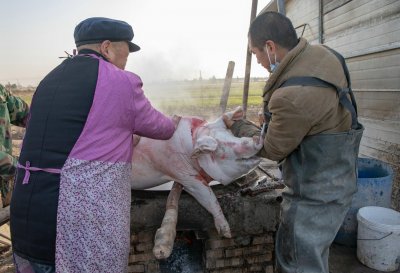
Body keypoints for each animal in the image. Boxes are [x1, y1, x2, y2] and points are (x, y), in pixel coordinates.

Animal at [132, 106, 262, 236]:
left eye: (231, 135)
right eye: (220, 147)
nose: (256, 138)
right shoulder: (183, 173)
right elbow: (210, 197)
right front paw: (226, 233)